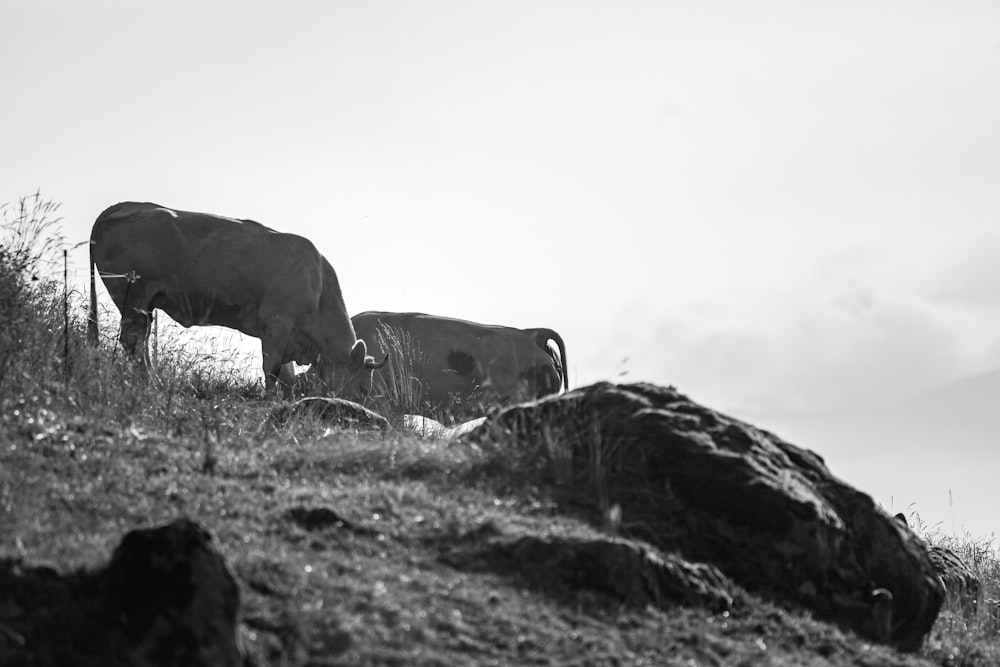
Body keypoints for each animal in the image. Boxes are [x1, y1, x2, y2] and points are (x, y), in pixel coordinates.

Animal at [90, 202, 386, 396]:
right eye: (363, 388)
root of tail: (123, 208)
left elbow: (286, 376)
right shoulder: (276, 322)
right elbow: (271, 368)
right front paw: (270, 399)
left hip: (143, 306)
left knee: (138, 343)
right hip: (133, 296)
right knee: (134, 343)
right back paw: (152, 385)